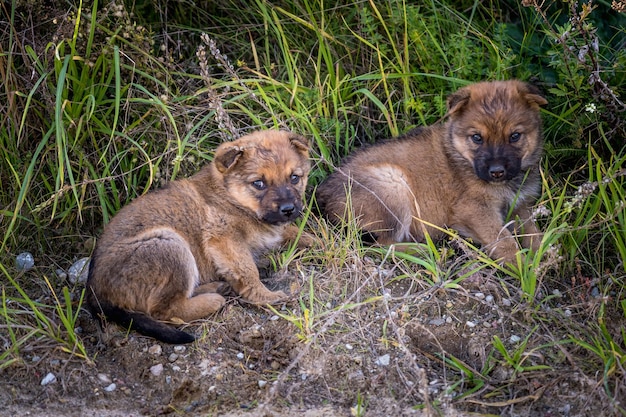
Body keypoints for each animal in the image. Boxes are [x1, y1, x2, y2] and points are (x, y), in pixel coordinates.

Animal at [86, 129, 310, 342]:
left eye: (294, 178)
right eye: (259, 183)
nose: (288, 209)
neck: (230, 197)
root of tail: (95, 294)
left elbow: (295, 233)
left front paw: (315, 242)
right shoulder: (225, 239)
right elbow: (248, 271)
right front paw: (266, 296)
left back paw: (216, 287)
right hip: (169, 245)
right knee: (164, 310)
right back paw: (212, 300)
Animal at [314, 80, 544, 264]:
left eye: (515, 136)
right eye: (477, 137)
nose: (497, 172)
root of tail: (322, 196)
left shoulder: (520, 206)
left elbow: (534, 234)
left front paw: (543, 258)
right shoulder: (475, 209)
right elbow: (504, 241)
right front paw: (524, 269)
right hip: (393, 186)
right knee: (381, 245)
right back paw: (424, 250)